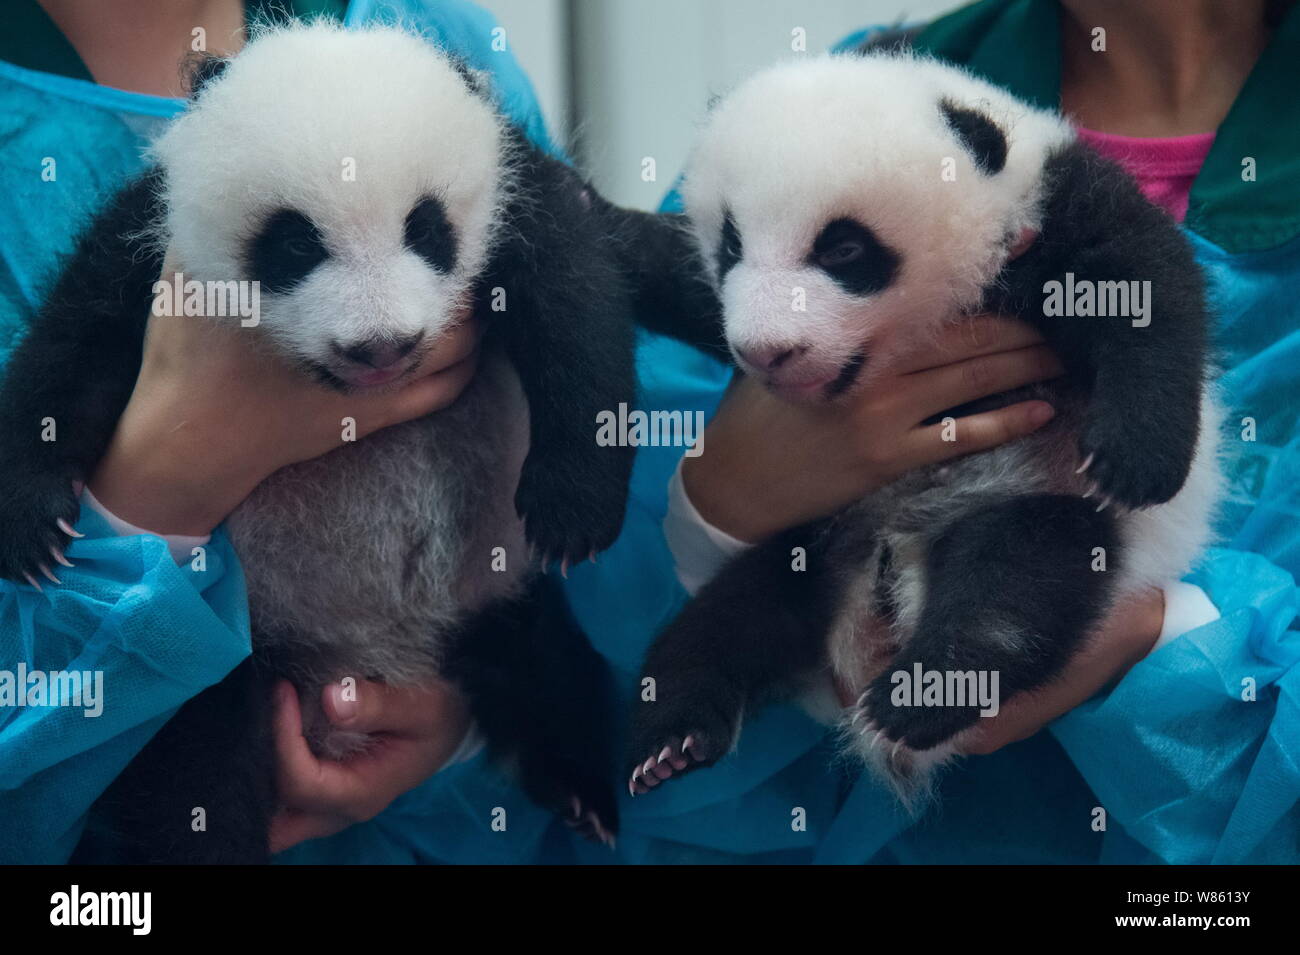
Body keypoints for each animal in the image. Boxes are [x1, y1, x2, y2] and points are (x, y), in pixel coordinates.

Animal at [0, 23, 637, 860]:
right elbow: (73, 342)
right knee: (192, 758)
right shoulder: (156, 243)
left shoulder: (510, 190)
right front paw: (30, 520)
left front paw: (573, 507)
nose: (382, 347)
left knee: (548, 662)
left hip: (493, 584)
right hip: (234, 641)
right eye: (294, 244)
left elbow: (575, 296)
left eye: (426, 228)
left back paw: (582, 787)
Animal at [624, 52, 1224, 805]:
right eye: (732, 244)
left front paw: (1137, 458)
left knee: (1016, 581)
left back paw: (922, 694)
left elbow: (1140, 285)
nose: (766, 352)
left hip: (1033, 491)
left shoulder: (1047, 211)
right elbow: (680, 278)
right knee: (729, 619)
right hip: (810, 537)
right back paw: (673, 736)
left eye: (844, 249)